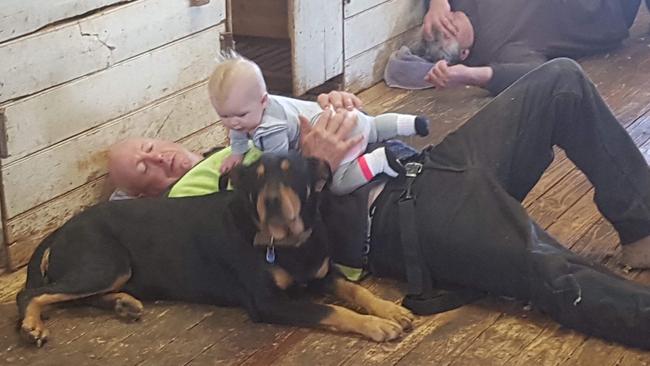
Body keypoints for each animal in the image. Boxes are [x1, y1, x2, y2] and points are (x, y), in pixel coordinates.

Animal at [17, 151, 412, 346]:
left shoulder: (320, 273)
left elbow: (355, 290)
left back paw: (123, 304)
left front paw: (391, 310)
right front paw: (378, 326)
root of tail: (62, 229)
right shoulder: (268, 303)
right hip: (107, 263)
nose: (271, 202)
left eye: (291, 172)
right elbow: (332, 310)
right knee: (32, 294)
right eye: (255, 180)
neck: (286, 242)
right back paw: (32, 327)